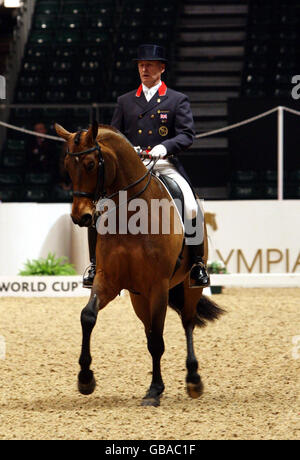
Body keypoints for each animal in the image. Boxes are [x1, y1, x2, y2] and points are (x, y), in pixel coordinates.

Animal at [54, 119, 223, 406]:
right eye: (66, 165)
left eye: (90, 164)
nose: (80, 217)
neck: (132, 215)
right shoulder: (108, 280)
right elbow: (88, 316)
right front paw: (85, 379)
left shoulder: (159, 285)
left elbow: (158, 341)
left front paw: (154, 391)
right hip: (138, 296)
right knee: (149, 331)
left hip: (188, 287)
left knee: (187, 322)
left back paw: (193, 379)